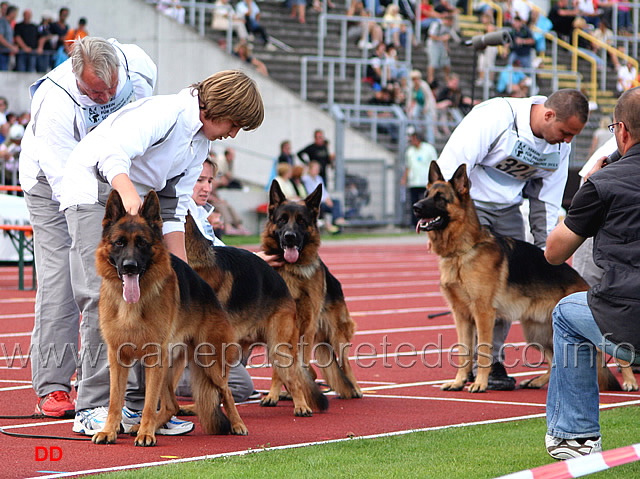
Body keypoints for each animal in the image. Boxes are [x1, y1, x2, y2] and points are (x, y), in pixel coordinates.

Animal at [92, 190, 248, 446]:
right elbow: (115, 400)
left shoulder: (154, 359)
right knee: (172, 405)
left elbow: (148, 403)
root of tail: (206, 288)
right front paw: (110, 430)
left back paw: (237, 424)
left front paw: (146, 433)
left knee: (225, 392)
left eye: (143, 243)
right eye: (119, 243)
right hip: (169, 368)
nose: (129, 267)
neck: (132, 306)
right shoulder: (118, 357)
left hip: (208, 361)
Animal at [258, 182, 360, 400]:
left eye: (301, 221)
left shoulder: (308, 325)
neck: (291, 270)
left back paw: (355, 388)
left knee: (345, 362)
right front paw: (273, 394)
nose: (290, 237)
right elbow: (279, 367)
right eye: (282, 220)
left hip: (337, 334)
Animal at [412, 161, 624, 394]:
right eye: (426, 194)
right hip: (537, 333)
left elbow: (483, 351)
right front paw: (459, 381)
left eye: (440, 198)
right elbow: (463, 352)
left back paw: (630, 381)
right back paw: (537, 381)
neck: (462, 251)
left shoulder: (483, 313)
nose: (415, 207)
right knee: (554, 360)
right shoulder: (461, 316)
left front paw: (480, 383)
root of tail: (580, 281)